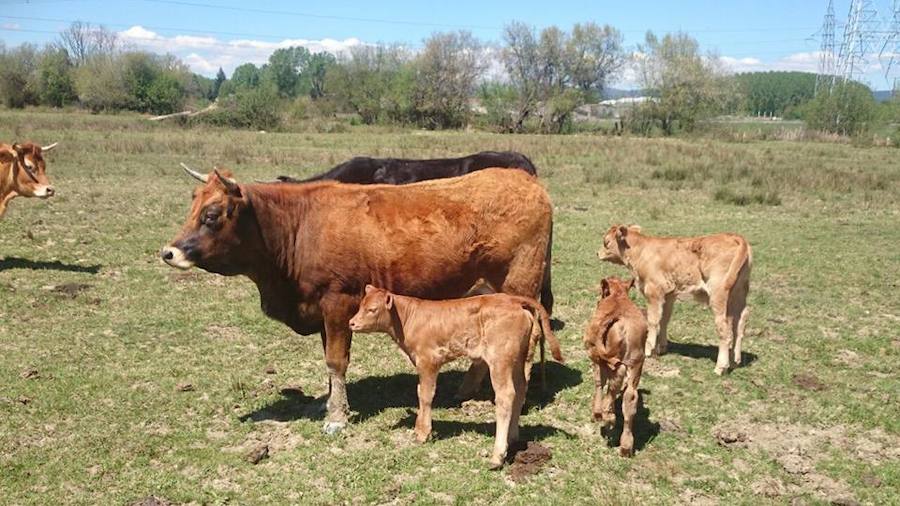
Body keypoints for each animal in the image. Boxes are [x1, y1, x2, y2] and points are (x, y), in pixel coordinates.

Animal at [163, 165, 556, 430]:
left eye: (212, 214)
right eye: (192, 206)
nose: (169, 252)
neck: (300, 227)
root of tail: (527, 181)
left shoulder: (338, 302)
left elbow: (336, 361)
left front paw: (337, 417)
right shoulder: (322, 310)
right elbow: (328, 360)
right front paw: (327, 404)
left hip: (520, 284)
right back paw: (465, 389)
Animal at [346, 284, 564, 466]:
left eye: (372, 309)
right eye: (360, 305)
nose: (351, 323)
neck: (408, 319)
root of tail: (512, 300)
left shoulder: (428, 361)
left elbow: (426, 395)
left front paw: (423, 433)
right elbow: (420, 392)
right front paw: (418, 428)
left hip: (500, 360)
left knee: (506, 396)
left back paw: (498, 455)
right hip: (519, 358)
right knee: (520, 391)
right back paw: (512, 438)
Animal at [584, 276, 648, 458]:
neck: (617, 296)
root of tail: (619, 319)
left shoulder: (595, 358)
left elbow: (599, 382)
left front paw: (597, 413)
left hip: (611, 361)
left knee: (613, 384)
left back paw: (608, 417)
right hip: (636, 362)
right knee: (630, 397)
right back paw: (626, 445)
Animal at [596, 225, 752, 376]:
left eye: (606, 242)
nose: (597, 253)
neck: (641, 251)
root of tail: (735, 237)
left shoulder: (654, 292)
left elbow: (653, 320)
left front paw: (648, 349)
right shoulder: (669, 295)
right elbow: (664, 319)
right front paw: (661, 347)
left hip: (718, 296)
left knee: (725, 330)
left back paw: (721, 367)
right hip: (739, 294)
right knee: (740, 323)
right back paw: (735, 360)